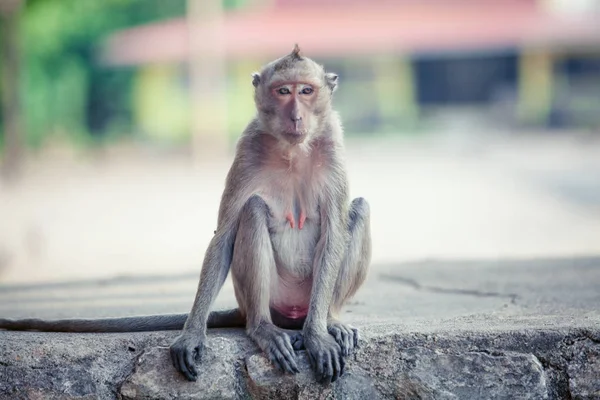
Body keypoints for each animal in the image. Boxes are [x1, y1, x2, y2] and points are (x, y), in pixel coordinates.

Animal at [0, 45, 370, 386]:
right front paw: (192, 334)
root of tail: (288, 314)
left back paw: (330, 320)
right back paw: (262, 328)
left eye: (306, 91)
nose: (296, 116)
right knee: (252, 211)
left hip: (305, 301)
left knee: (359, 210)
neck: (291, 148)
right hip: (266, 298)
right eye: (283, 91)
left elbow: (334, 232)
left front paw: (318, 336)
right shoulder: (248, 147)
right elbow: (224, 235)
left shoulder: (332, 145)